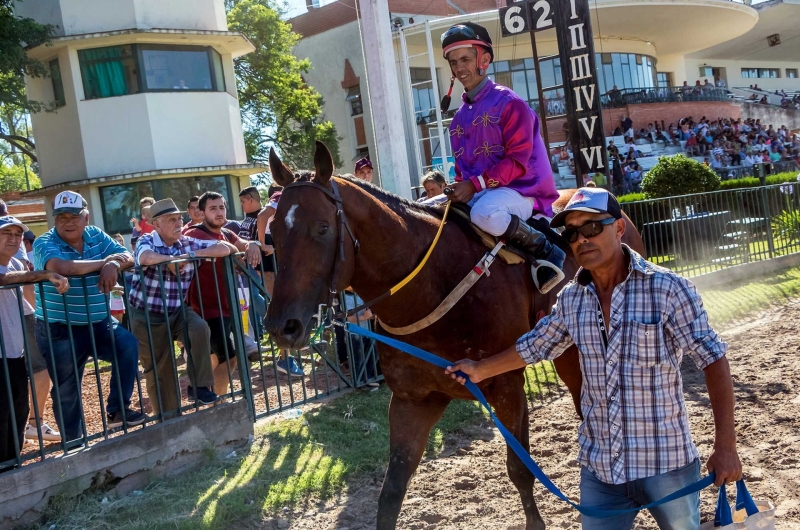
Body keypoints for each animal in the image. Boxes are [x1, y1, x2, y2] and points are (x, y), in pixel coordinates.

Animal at [266, 142, 648, 524]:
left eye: (321, 229)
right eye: (274, 233)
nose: (282, 326)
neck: (433, 283)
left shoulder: (506, 386)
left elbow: (520, 469)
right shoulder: (413, 400)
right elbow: (391, 492)